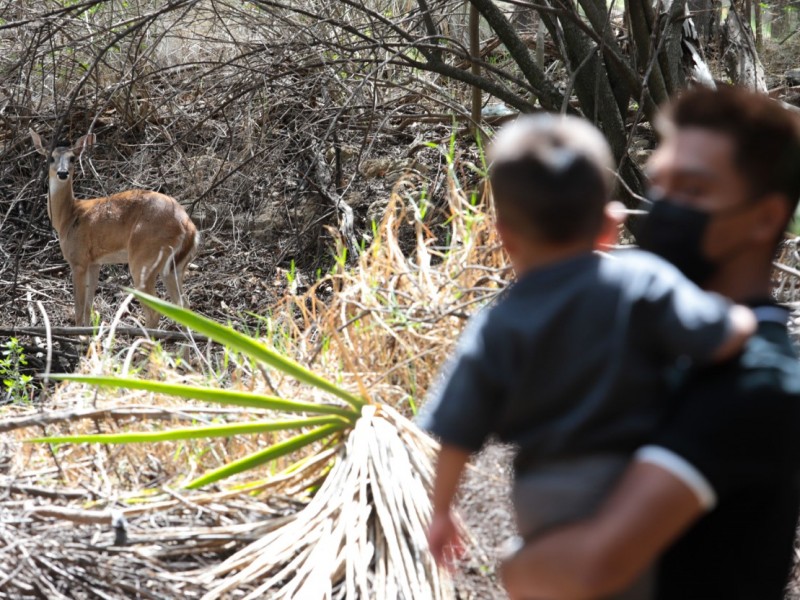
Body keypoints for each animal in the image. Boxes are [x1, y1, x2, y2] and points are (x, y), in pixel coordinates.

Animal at [31, 129, 200, 330]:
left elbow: (79, 309)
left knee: (154, 311)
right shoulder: (94, 262)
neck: (68, 217)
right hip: (175, 267)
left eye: (73, 158)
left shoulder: (78, 259)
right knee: (184, 306)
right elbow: (88, 306)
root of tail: (188, 227)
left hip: (144, 258)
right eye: (51, 158)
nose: (62, 173)